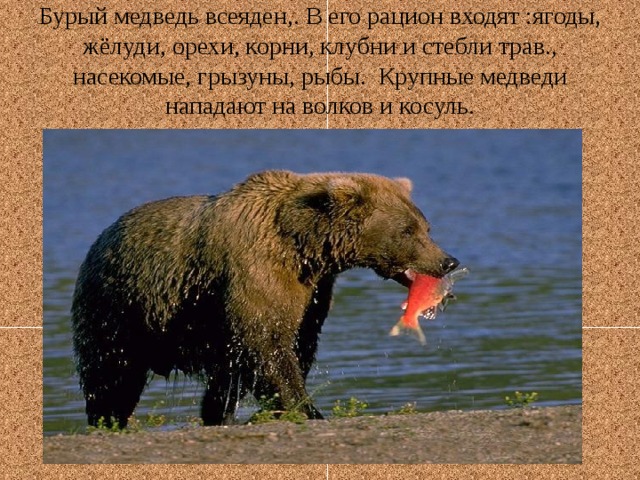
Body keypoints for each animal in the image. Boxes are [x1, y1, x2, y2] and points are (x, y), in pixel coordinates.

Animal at [71, 170, 459, 428]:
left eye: (426, 227)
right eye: (407, 230)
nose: (448, 260)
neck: (304, 246)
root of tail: (101, 237)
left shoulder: (312, 290)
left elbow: (295, 341)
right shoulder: (256, 270)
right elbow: (267, 343)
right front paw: (306, 408)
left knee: (221, 378)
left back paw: (215, 414)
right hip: (120, 307)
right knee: (111, 373)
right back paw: (108, 419)